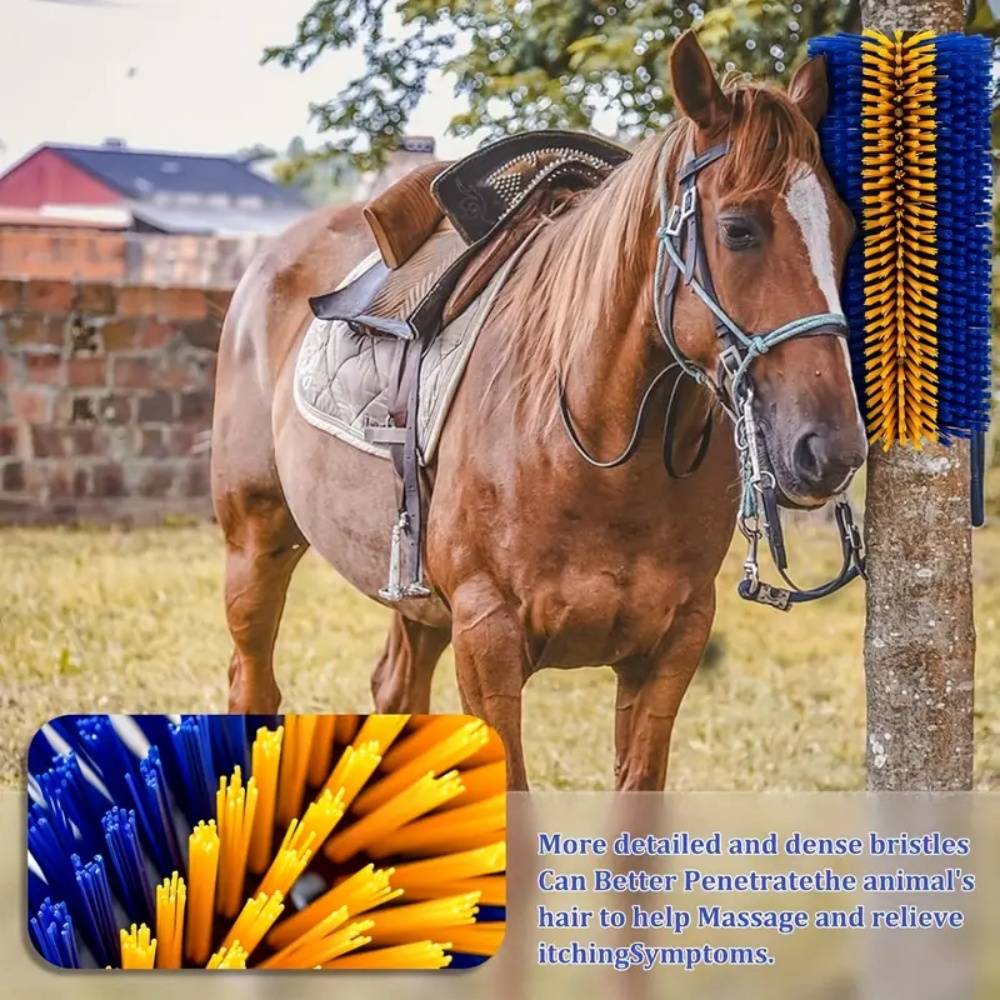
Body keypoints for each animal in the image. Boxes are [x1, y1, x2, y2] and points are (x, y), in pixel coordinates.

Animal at [210, 31, 866, 791]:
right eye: (738, 230)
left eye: (844, 232)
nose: (830, 448)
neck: (594, 449)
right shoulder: (488, 640)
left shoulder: (672, 645)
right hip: (256, 544)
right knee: (252, 683)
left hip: (414, 599)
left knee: (395, 687)